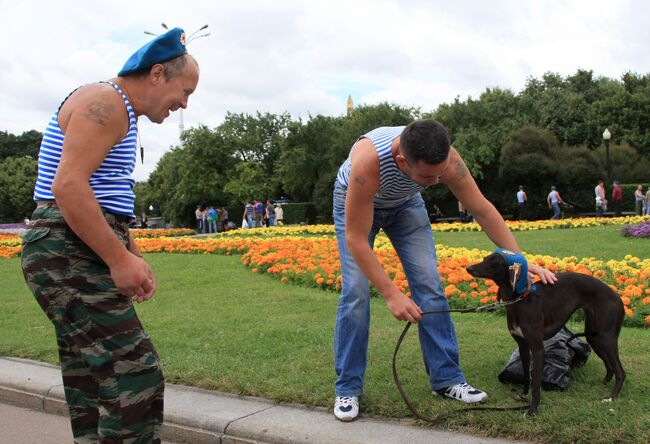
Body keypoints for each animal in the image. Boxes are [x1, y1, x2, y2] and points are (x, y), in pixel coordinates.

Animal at [466, 251, 624, 414]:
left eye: (494, 262)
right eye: (485, 258)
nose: (468, 268)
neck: (519, 301)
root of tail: (618, 297)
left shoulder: (537, 348)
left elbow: (536, 384)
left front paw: (532, 409)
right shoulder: (523, 345)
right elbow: (526, 376)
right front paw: (523, 396)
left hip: (606, 338)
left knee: (620, 372)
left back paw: (611, 397)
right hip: (595, 337)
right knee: (610, 366)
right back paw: (604, 384)